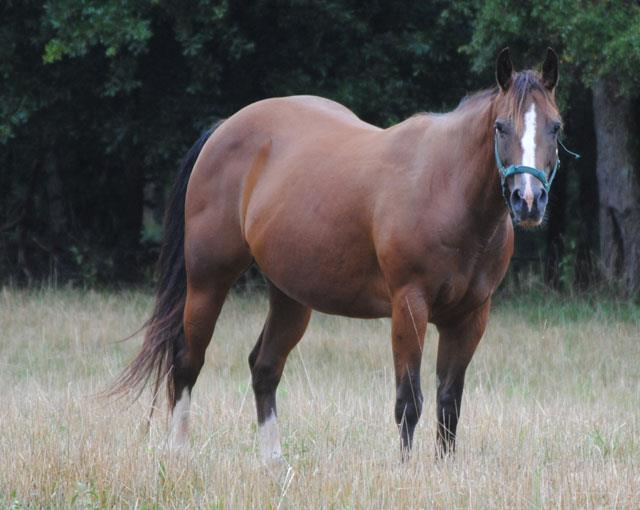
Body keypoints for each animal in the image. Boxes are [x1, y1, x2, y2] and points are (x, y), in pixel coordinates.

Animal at [113, 47, 567, 461]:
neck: (446, 187)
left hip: (291, 297)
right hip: (208, 281)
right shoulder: (409, 306)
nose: (528, 200)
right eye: (500, 126)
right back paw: (178, 451)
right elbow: (409, 401)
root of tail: (227, 127)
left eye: (556, 127)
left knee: (264, 367)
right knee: (187, 360)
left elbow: (449, 402)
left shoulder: (470, 317)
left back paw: (273, 461)